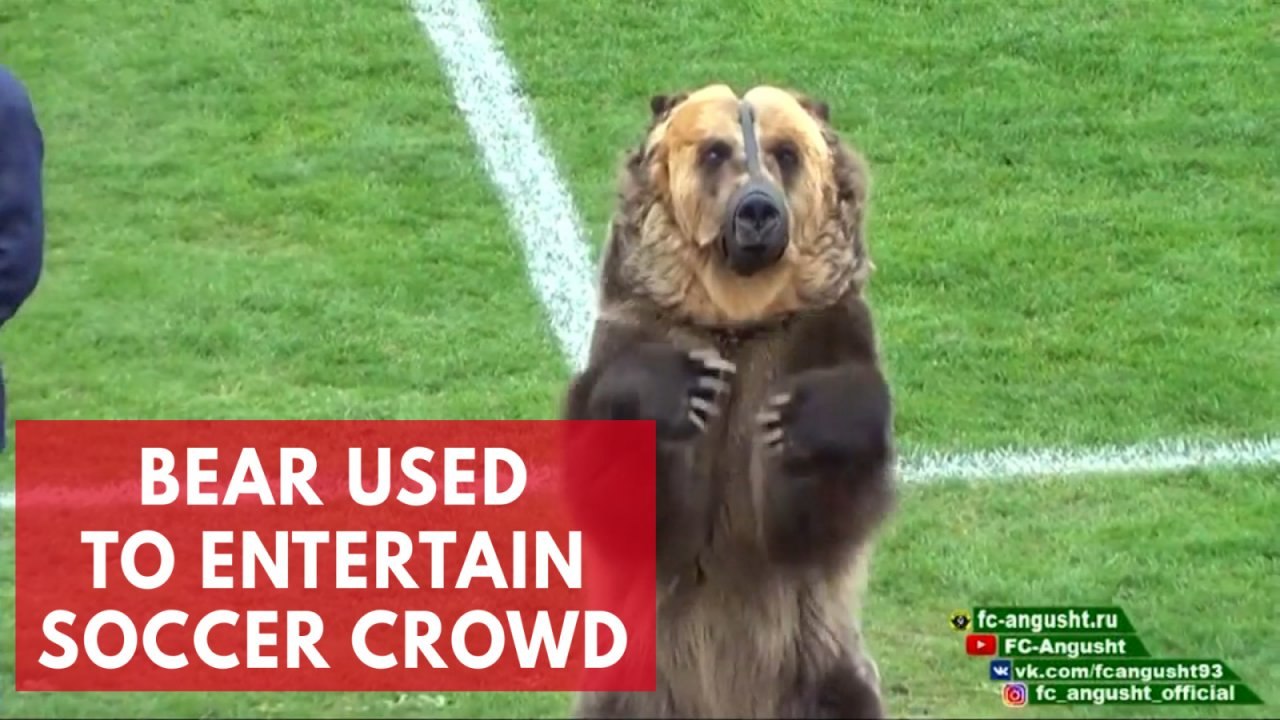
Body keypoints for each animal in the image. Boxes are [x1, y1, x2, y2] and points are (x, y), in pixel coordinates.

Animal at [561, 83, 896, 719]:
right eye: (715, 151)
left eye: (786, 152)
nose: (758, 210)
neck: (738, 325)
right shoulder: (636, 328)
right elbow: (635, 506)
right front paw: (676, 389)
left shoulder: (819, 335)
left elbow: (813, 520)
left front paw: (801, 421)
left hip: (823, 674)